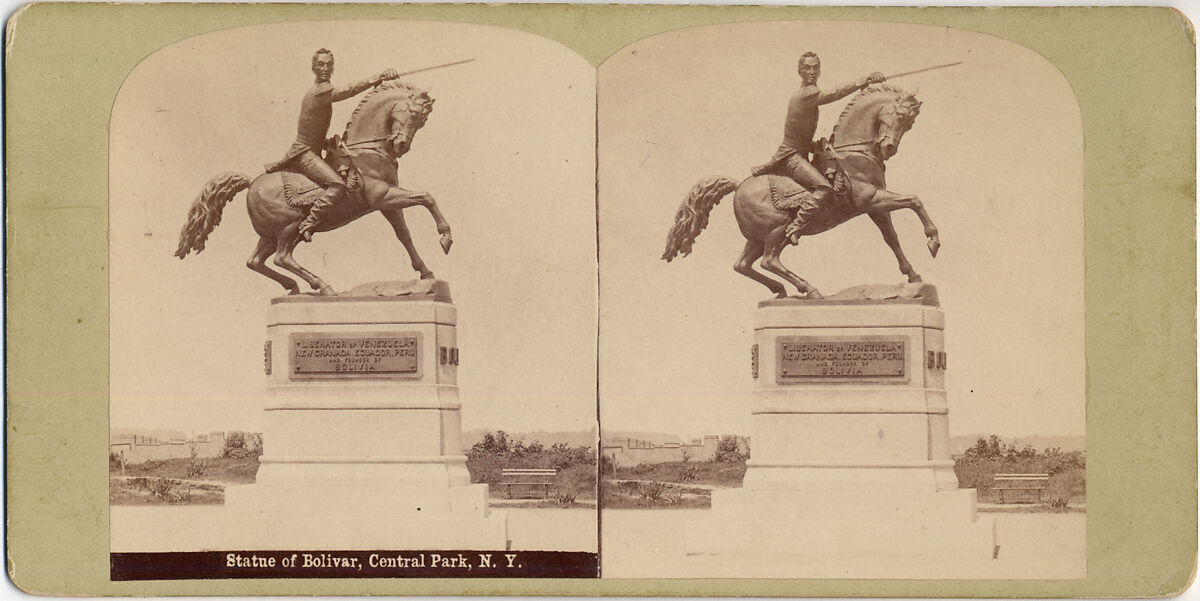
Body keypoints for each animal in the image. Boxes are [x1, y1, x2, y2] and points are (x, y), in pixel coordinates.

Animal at [177, 79, 453, 295]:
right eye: (414, 114)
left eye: (423, 121)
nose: (401, 146)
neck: (365, 150)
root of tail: (251, 183)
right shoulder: (384, 196)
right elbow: (426, 197)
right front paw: (445, 238)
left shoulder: (388, 204)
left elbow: (404, 234)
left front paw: (426, 273)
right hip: (290, 227)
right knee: (282, 257)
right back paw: (323, 286)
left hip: (270, 234)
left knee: (255, 261)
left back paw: (293, 287)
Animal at [667, 84, 936, 297]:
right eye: (900, 115)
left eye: (910, 123)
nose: (889, 149)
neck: (854, 152)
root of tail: (738, 186)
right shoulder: (872, 199)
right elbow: (914, 200)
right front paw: (933, 241)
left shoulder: (875, 206)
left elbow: (891, 237)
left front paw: (913, 276)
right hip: (777, 230)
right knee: (770, 261)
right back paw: (810, 289)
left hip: (757, 238)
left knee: (742, 265)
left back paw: (780, 290)